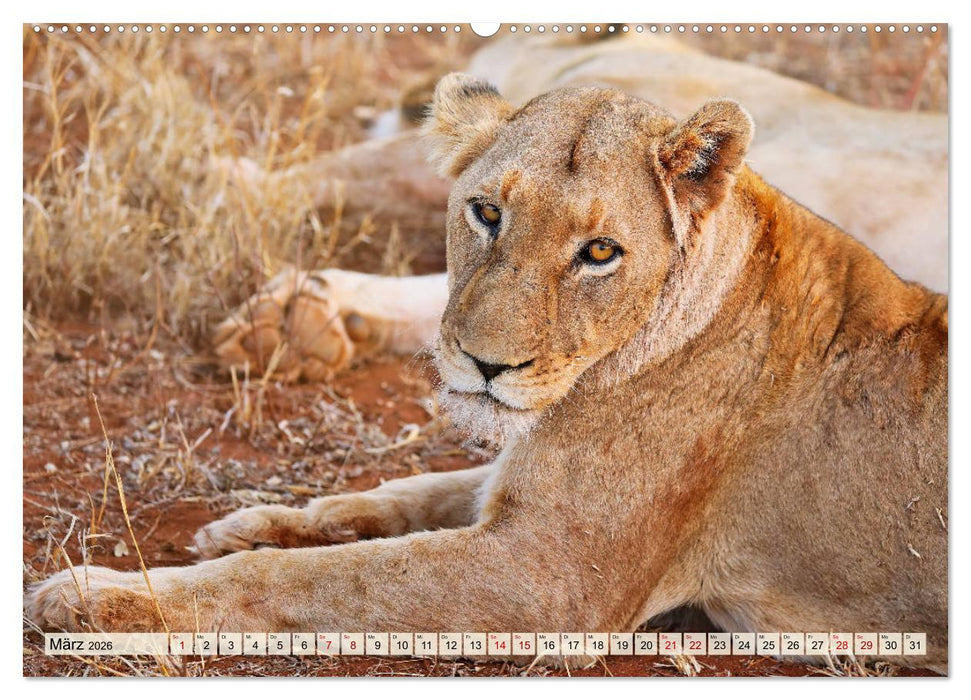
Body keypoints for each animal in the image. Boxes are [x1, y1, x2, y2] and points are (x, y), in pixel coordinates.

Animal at [28, 76, 947, 673]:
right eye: (487, 212)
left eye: (599, 252)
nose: (483, 363)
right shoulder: (515, 495)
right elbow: (396, 499)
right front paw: (251, 524)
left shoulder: (550, 581)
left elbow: (325, 577)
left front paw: (101, 599)